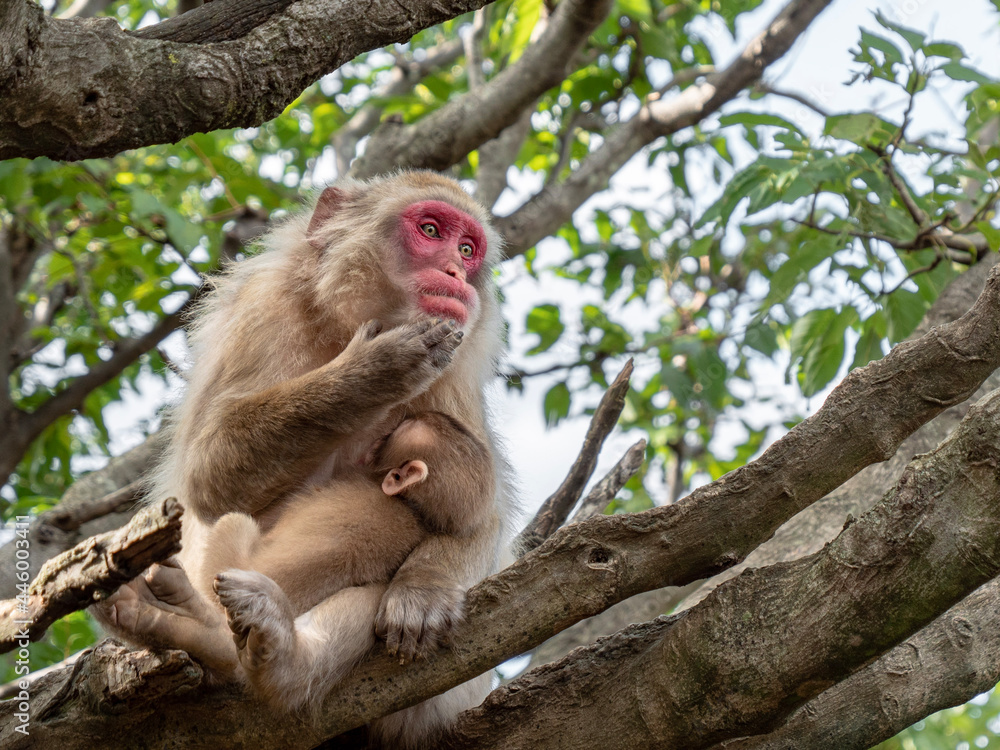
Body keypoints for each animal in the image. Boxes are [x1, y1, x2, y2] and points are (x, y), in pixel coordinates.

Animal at [94, 171, 513, 748]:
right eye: (431, 230)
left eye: (469, 250)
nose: (456, 272)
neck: (345, 322)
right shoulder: (265, 309)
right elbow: (207, 478)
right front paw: (374, 371)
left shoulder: (457, 366)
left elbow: (480, 514)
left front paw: (424, 589)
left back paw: (279, 662)